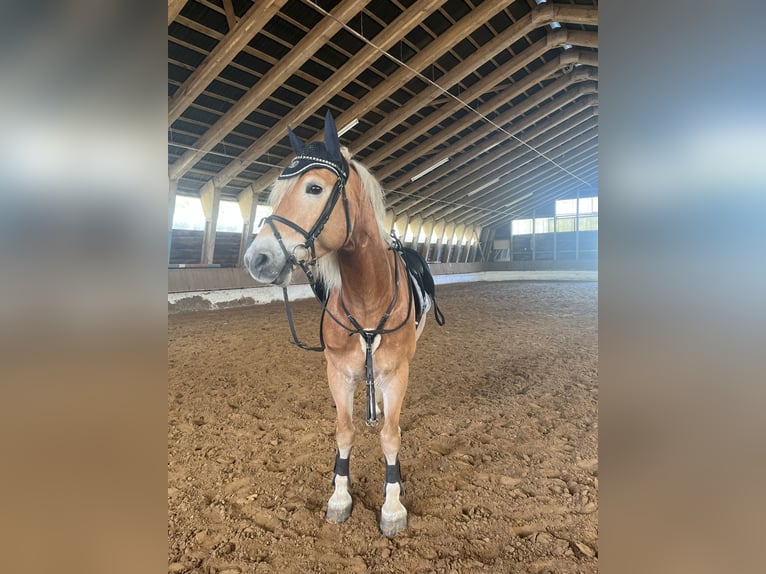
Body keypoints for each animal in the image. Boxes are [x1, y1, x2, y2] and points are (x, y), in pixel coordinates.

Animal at [240, 110, 444, 536]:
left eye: (314, 188)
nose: (257, 259)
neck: (368, 297)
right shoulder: (338, 372)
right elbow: (344, 431)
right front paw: (339, 497)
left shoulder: (397, 373)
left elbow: (390, 436)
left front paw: (393, 505)